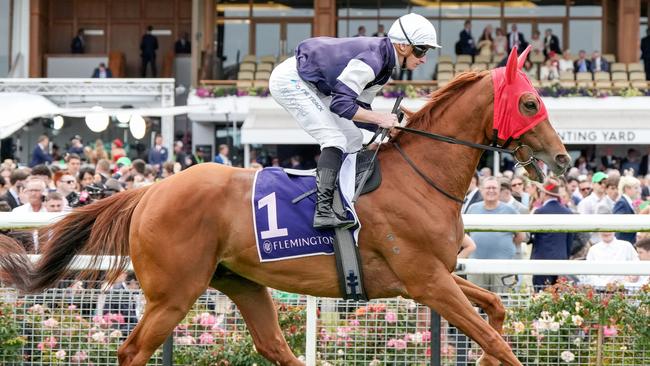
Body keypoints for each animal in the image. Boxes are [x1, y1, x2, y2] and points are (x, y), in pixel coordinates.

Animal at [1, 47, 568, 364]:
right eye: (530, 102)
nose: (562, 160)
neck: (420, 178)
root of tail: (150, 191)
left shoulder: (434, 276)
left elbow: (496, 310)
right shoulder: (426, 280)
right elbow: (497, 341)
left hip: (242, 282)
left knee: (274, 347)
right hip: (172, 293)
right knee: (133, 350)